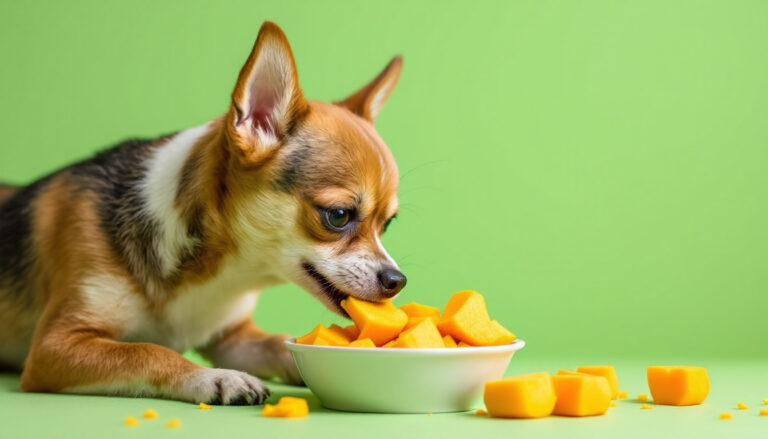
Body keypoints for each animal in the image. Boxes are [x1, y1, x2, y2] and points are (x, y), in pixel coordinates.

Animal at [0, 20, 408, 406]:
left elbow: (278, 343)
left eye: (387, 224)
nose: (397, 280)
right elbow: (147, 351)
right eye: (338, 216)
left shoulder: (231, 338)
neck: (216, 273)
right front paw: (217, 378)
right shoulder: (55, 346)